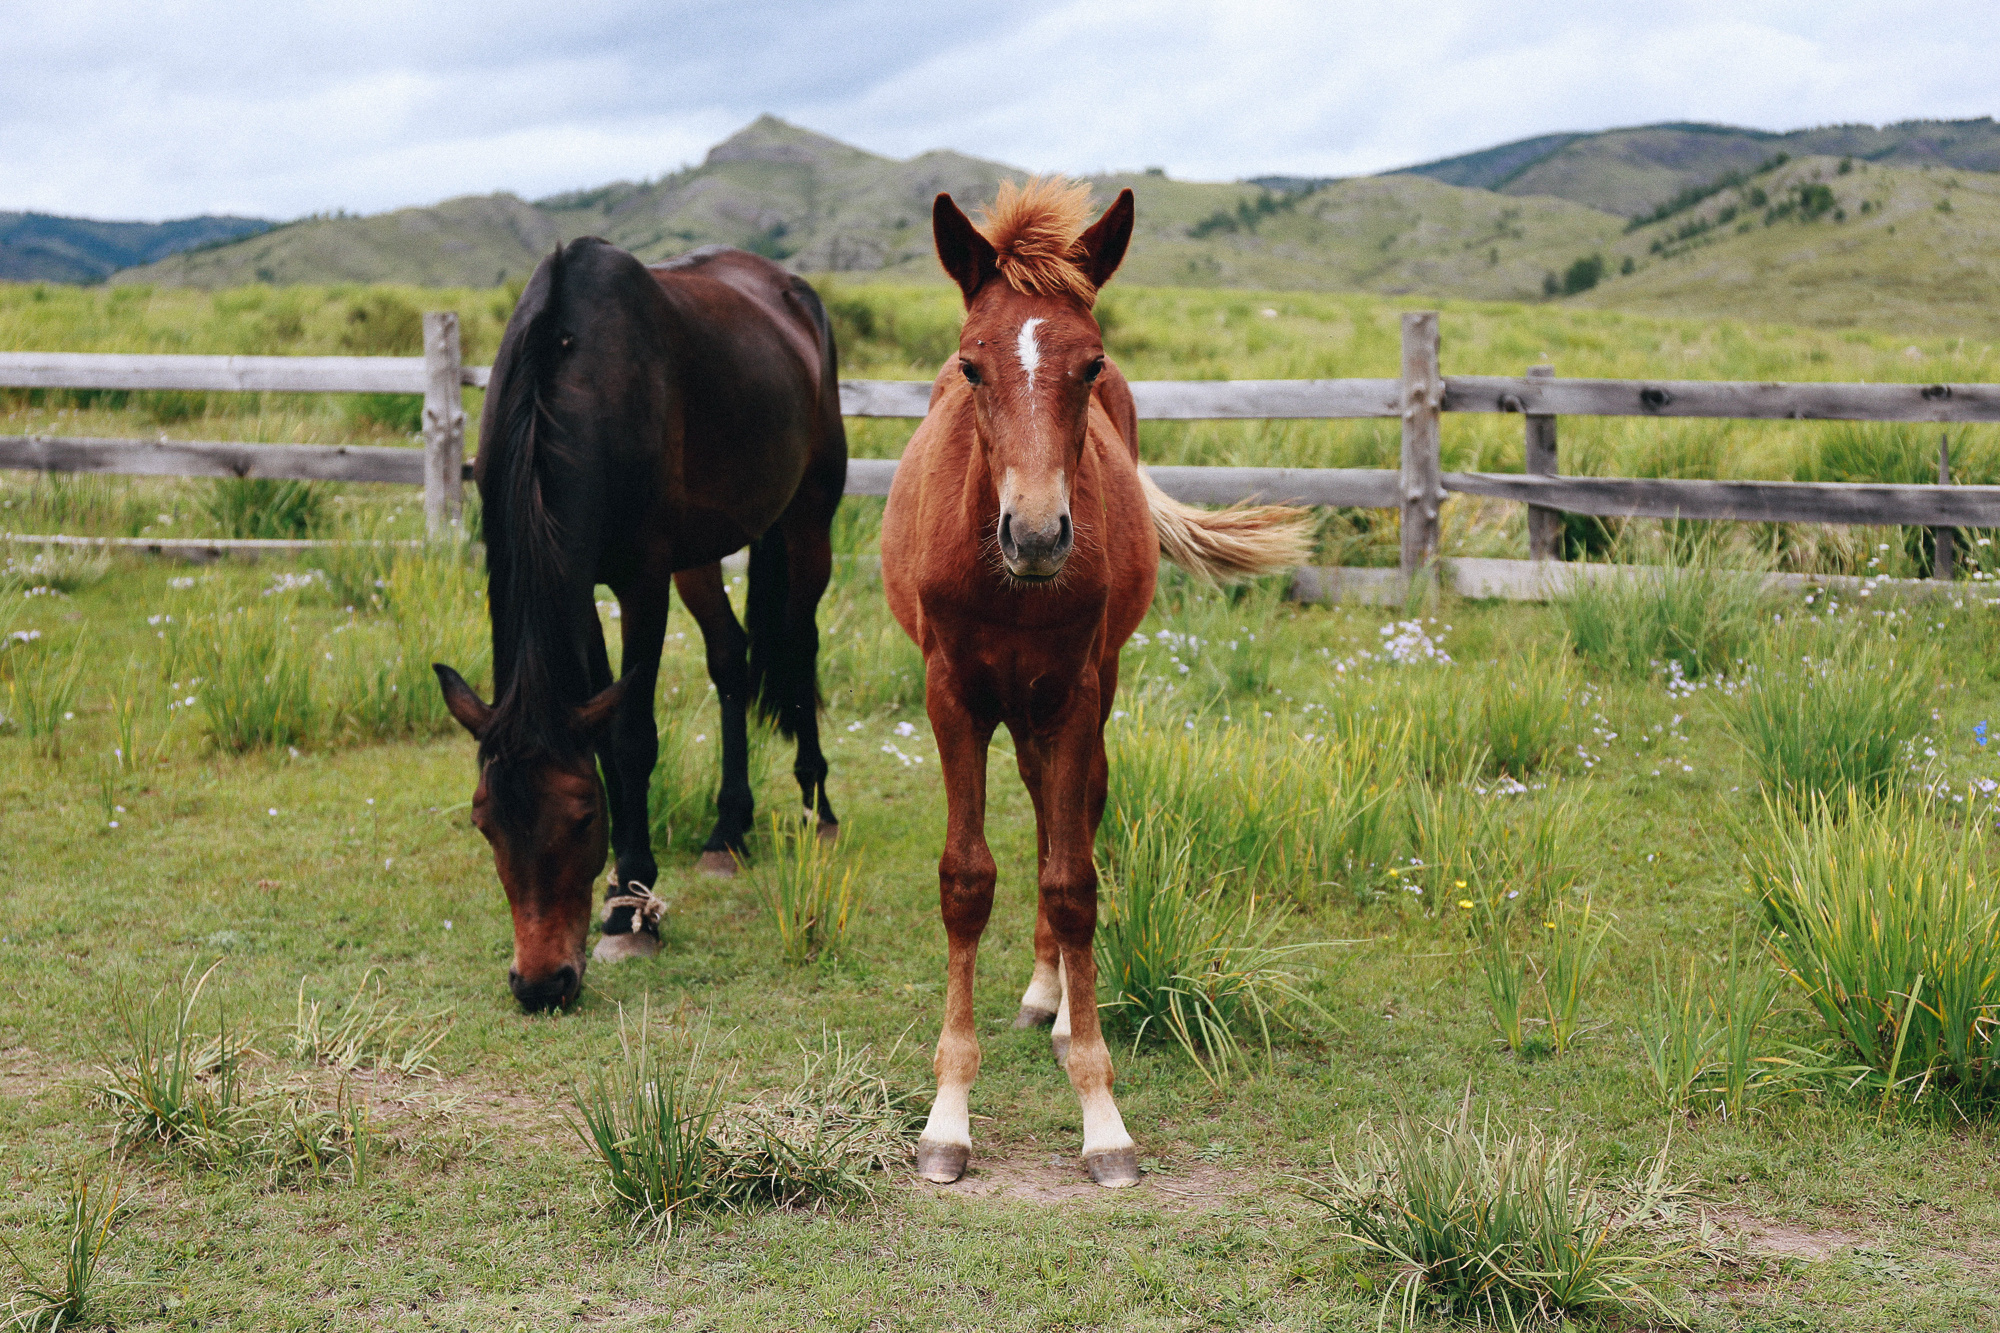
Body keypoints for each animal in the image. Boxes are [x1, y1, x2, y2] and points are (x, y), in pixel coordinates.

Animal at [438, 239, 844, 1008]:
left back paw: (818, 805)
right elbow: (605, 731)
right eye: (482, 820)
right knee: (730, 658)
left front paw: (633, 910)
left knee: (801, 646)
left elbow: (630, 737)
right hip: (704, 550)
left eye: (581, 818)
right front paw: (622, 897)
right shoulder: (578, 579)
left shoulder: (641, 581)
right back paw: (727, 830)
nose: (541, 983)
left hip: (809, 517)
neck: (572, 375)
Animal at [888, 179, 1320, 1184]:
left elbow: (1072, 877)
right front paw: (948, 1116)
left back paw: (1055, 1001)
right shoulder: (950, 694)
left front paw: (1101, 1113)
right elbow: (967, 879)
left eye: (1090, 365)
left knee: (1070, 809)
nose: (1038, 533)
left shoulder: (1076, 690)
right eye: (971, 367)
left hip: (1078, 691)